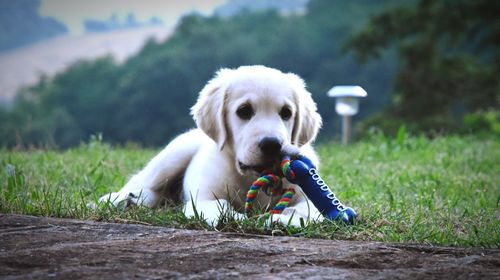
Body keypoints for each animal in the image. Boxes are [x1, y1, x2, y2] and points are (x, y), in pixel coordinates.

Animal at [99, 66, 324, 228]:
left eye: (286, 112)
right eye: (244, 111)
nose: (272, 144)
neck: (249, 177)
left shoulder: (307, 198)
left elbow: (305, 209)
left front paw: (283, 219)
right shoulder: (202, 199)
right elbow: (220, 206)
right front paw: (239, 219)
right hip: (171, 158)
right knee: (142, 181)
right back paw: (120, 199)